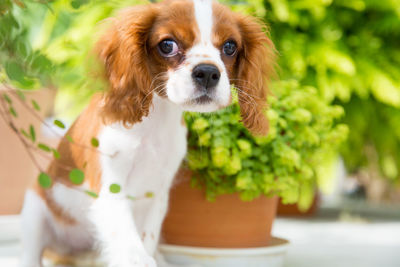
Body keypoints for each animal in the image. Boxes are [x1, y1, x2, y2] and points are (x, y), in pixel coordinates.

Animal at [19, 0, 276, 267]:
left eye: (230, 46)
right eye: (167, 45)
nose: (207, 72)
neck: (155, 122)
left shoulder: (158, 195)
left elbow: (147, 237)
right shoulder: (110, 189)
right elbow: (128, 241)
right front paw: (139, 259)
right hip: (34, 210)